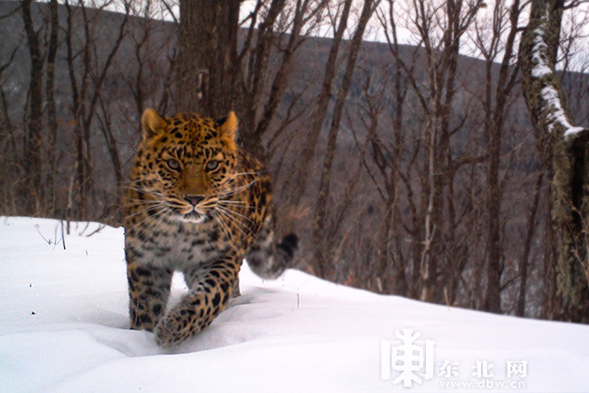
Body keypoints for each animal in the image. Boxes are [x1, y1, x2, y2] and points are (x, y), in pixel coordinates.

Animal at [122, 107, 296, 346]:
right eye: (173, 164)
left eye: (212, 165)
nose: (194, 199)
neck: (180, 228)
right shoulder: (147, 260)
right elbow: (147, 303)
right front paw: (141, 335)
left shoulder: (218, 257)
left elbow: (208, 297)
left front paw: (172, 328)